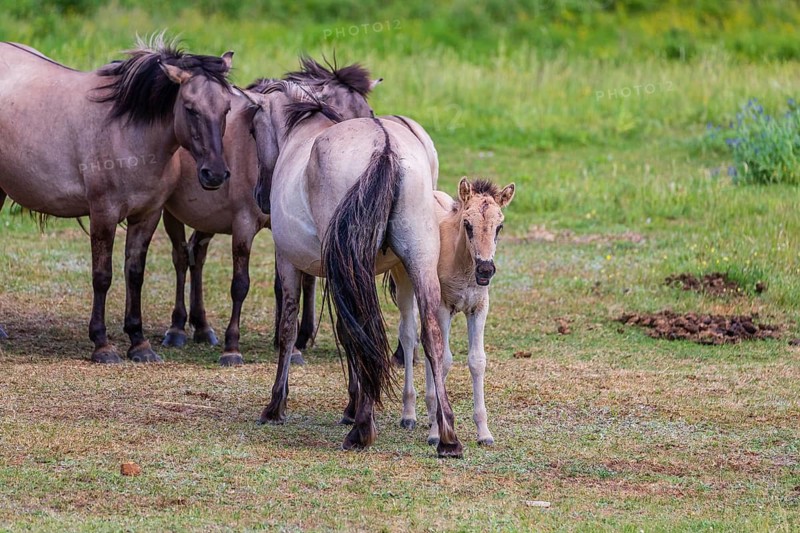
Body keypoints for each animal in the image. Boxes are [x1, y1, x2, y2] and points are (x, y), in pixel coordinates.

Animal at [0, 36, 234, 363]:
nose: (214, 174)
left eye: (226, 108)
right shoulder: (103, 214)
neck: (128, 132)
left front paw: (139, 343)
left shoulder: (147, 216)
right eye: (190, 108)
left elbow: (134, 274)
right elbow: (103, 276)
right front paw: (102, 344)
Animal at [160, 58, 379, 366]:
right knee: (180, 258)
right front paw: (232, 347)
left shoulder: (281, 228)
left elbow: (282, 284)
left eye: (368, 113)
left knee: (197, 255)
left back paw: (202, 327)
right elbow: (240, 284)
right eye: (335, 116)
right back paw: (177, 329)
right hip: (172, 213)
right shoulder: (242, 225)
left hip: (205, 220)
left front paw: (288, 344)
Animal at [252, 97, 464, 457]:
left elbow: (289, 328)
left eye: (253, 130)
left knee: (362, 332)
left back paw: (362, 430)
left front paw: (276, 406)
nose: (259, 195)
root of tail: (385, 146)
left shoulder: (289, 262)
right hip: (419, 262)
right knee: (431, 336)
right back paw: (447, 435)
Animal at [393, 178, 515, 446]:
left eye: (499, 227)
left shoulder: (479, 308)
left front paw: (484, 432)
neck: (464, 267)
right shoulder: (443, 308)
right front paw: (438, 433)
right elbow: (445, 359)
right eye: (467, 225)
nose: (485, 269)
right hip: (405, 285)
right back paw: (409, 414)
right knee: (408, 335)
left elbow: (477, 361)